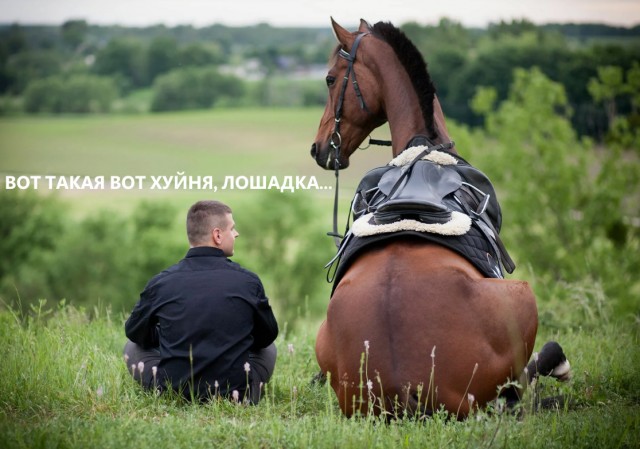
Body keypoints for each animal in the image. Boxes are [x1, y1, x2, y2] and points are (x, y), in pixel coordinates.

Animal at [310, 19, 571, 419]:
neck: (423, 147)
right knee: (523, 383)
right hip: (521, 299)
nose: (319, 147)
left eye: (329, 78)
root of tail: (403, 387)